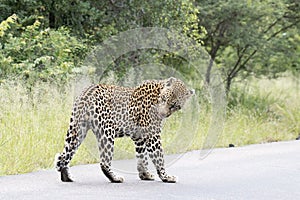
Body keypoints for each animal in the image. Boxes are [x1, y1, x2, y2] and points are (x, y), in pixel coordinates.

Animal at [54, 76, 195, 183]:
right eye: (164, 99)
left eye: (174, 106)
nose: (162, 114)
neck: (158, 93)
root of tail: (87, 92)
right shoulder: (152, 135)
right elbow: (159, 156)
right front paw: (166, 177)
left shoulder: (139, 137)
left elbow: (142, 157)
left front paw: (145, 175)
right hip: (106, 132)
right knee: (104, 162)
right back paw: (115, 178)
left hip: (77, 129)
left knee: (63, 155)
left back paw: (67, 177)